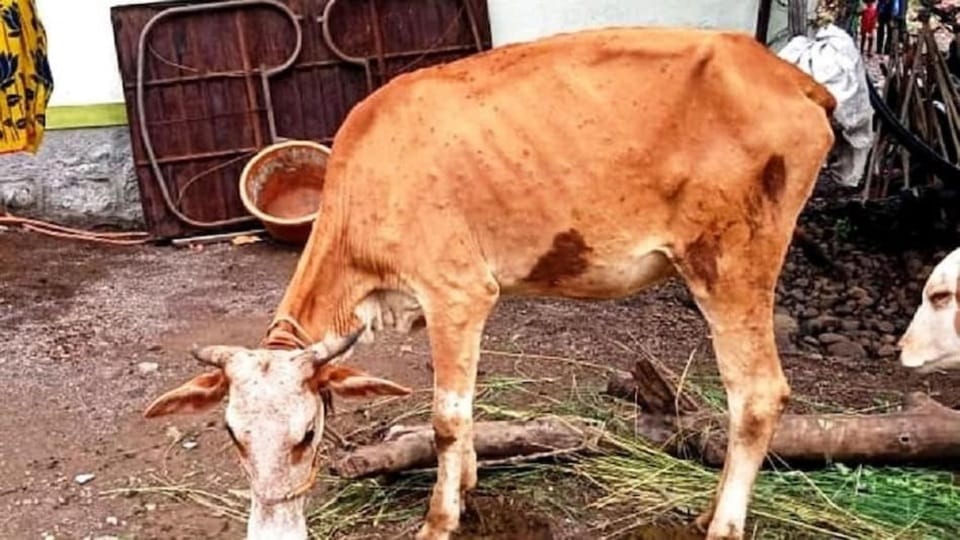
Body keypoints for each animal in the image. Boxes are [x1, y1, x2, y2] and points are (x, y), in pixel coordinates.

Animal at [143, 26, 836, 540]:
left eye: (307, 434)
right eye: (231, 433)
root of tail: (787, 75)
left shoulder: (458, 291)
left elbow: (445, 417)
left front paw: (439, 519)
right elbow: (464, 403)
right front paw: (471, 482)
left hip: (731, 264)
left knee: (757, 394)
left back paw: (721, 522)